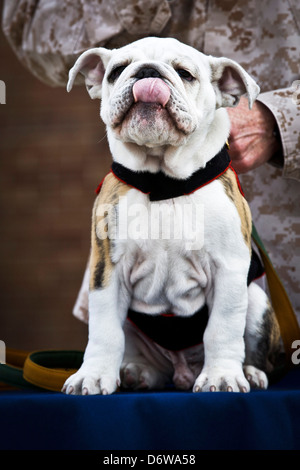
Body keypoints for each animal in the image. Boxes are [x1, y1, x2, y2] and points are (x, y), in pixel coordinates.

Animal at [62, 36, 280, 394]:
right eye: (116, 71)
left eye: (185, 74)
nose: (148, 72)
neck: (163, 182)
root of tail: (181, 371)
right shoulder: (106, 269)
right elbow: (105, 331)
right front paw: (91, 375)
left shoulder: (229, 269)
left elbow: (222, 328)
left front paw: (221, 376)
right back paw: (138, 373)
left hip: (256, 299)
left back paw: (248, 371)